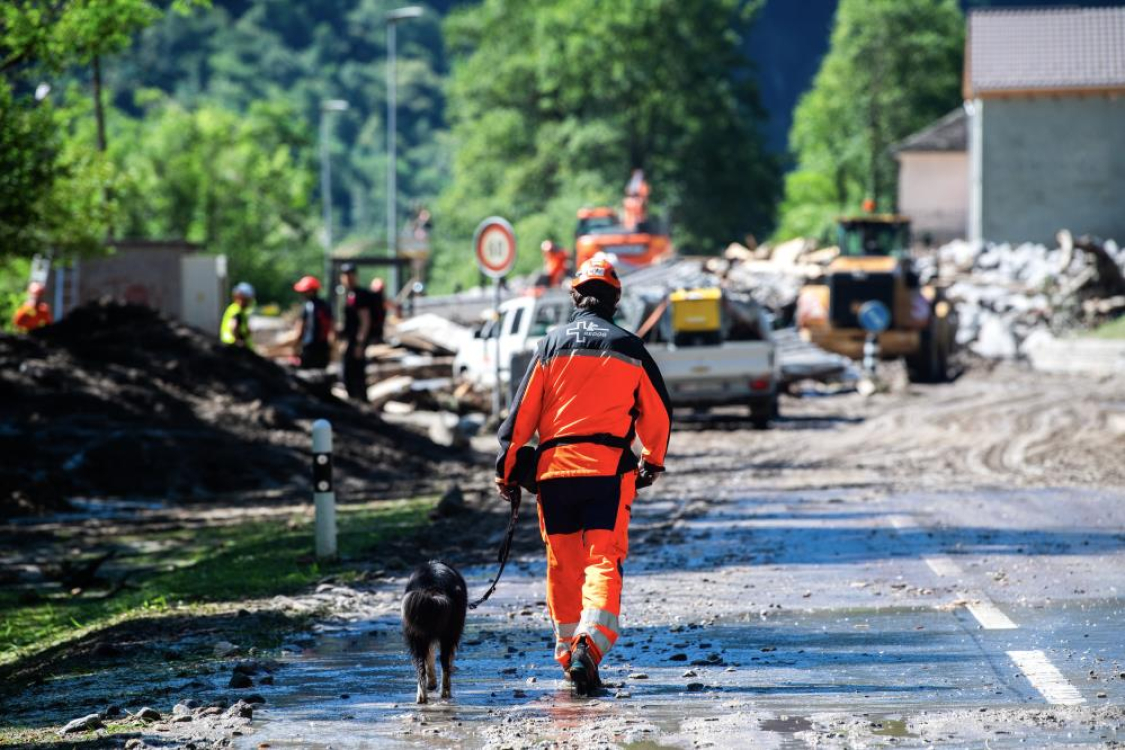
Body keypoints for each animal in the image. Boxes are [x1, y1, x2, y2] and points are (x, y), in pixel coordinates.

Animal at [402, 562, 468, 706]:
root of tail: (433, 586)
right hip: (449, 634)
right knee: (444, 662)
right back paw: (445, 692)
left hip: (415, 634)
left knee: (421, 666)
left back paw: (422, 697)